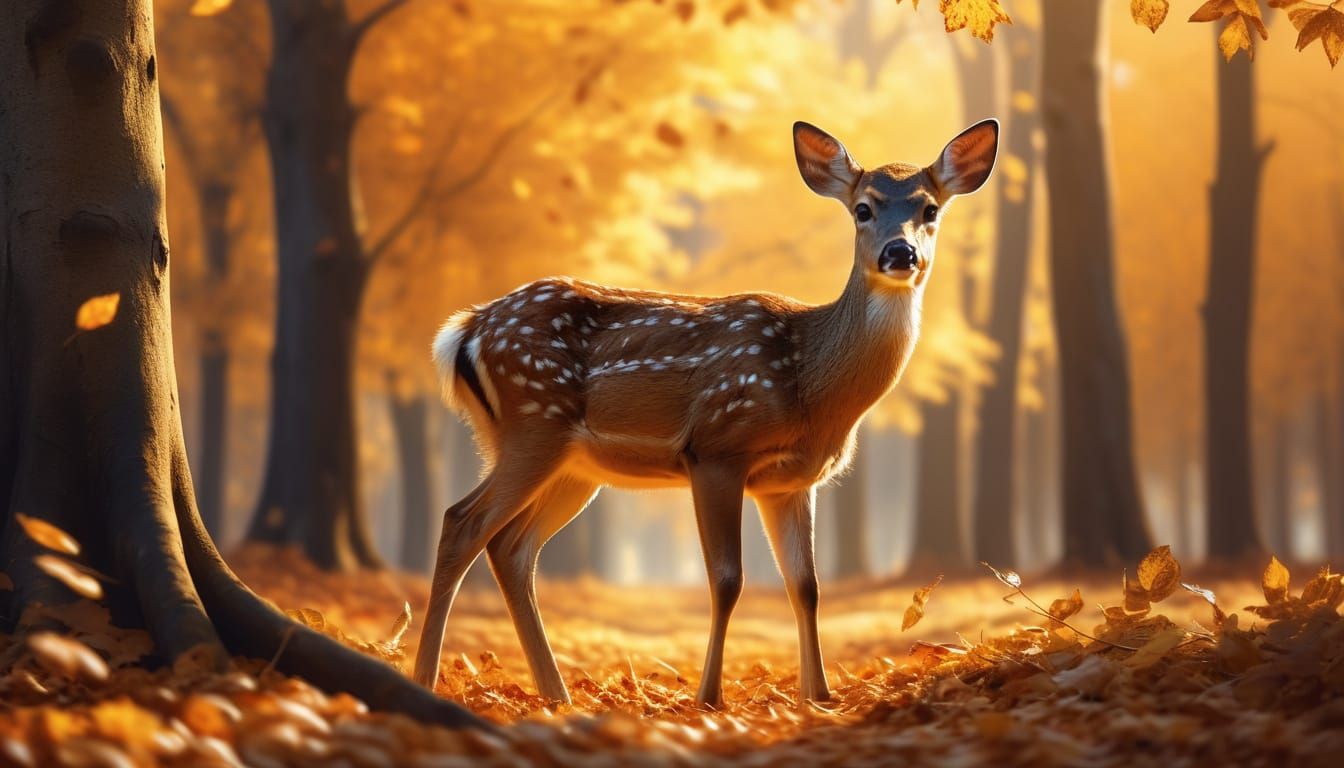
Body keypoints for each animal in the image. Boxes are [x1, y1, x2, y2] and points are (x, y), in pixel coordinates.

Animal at [414, 119, 999, 707]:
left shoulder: (790, 483)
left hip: (574, 466)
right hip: (533, 420)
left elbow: (806, 586)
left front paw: (819, 695)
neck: (811, 384)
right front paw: (709, 696)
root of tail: (465, 330)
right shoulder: (717, 447)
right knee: (462, 522)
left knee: (512, 548)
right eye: (863, 208)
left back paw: (556, 694)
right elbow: (726, 577)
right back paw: (425, 678)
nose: (900, 253)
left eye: (930, 208)